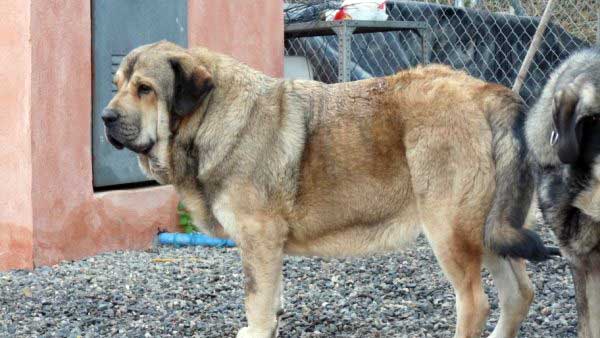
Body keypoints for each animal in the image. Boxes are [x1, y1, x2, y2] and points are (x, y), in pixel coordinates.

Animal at [102, 41, 548, 336]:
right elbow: (271, 297)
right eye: (117, 84)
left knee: (475, 304)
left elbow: (256, 303)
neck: (209, 116)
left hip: (450, 232)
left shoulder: (258, 237)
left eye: (145, 89)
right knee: (519, 294)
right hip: (486, 233)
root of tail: (485, 93)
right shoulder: (268, 247)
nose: (106, 117)